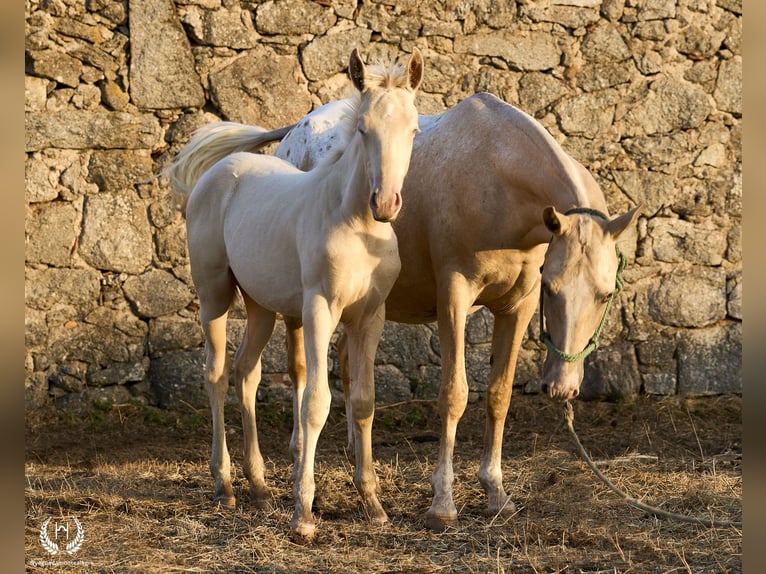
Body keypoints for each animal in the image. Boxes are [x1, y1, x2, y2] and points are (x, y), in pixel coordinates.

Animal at [168, 49, 426, 540]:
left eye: (415, 129)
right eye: (362, 128)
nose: (386, 203)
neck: (354, 224)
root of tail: (218, 172)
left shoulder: (371, 316)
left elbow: (363, 401)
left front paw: (373, 504)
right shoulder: (319, 308)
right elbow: (316, 403)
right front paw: (303, 513)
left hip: (260, 305)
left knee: (246, 372)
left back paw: (259, 487)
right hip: (213, 294)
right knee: (215, 375)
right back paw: (224, 485)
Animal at [170, 91, 640, 536]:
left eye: (605, 295)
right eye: (553, 289)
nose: (563, 388)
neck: (496, 174)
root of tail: (295, 132)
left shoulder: (517, 307)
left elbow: (499, 396)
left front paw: (495, 492)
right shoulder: (454, 296)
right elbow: (454, 395)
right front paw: (442, 505)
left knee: (330, 366)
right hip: (286, 305)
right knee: (294, 372)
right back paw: (286, 464)